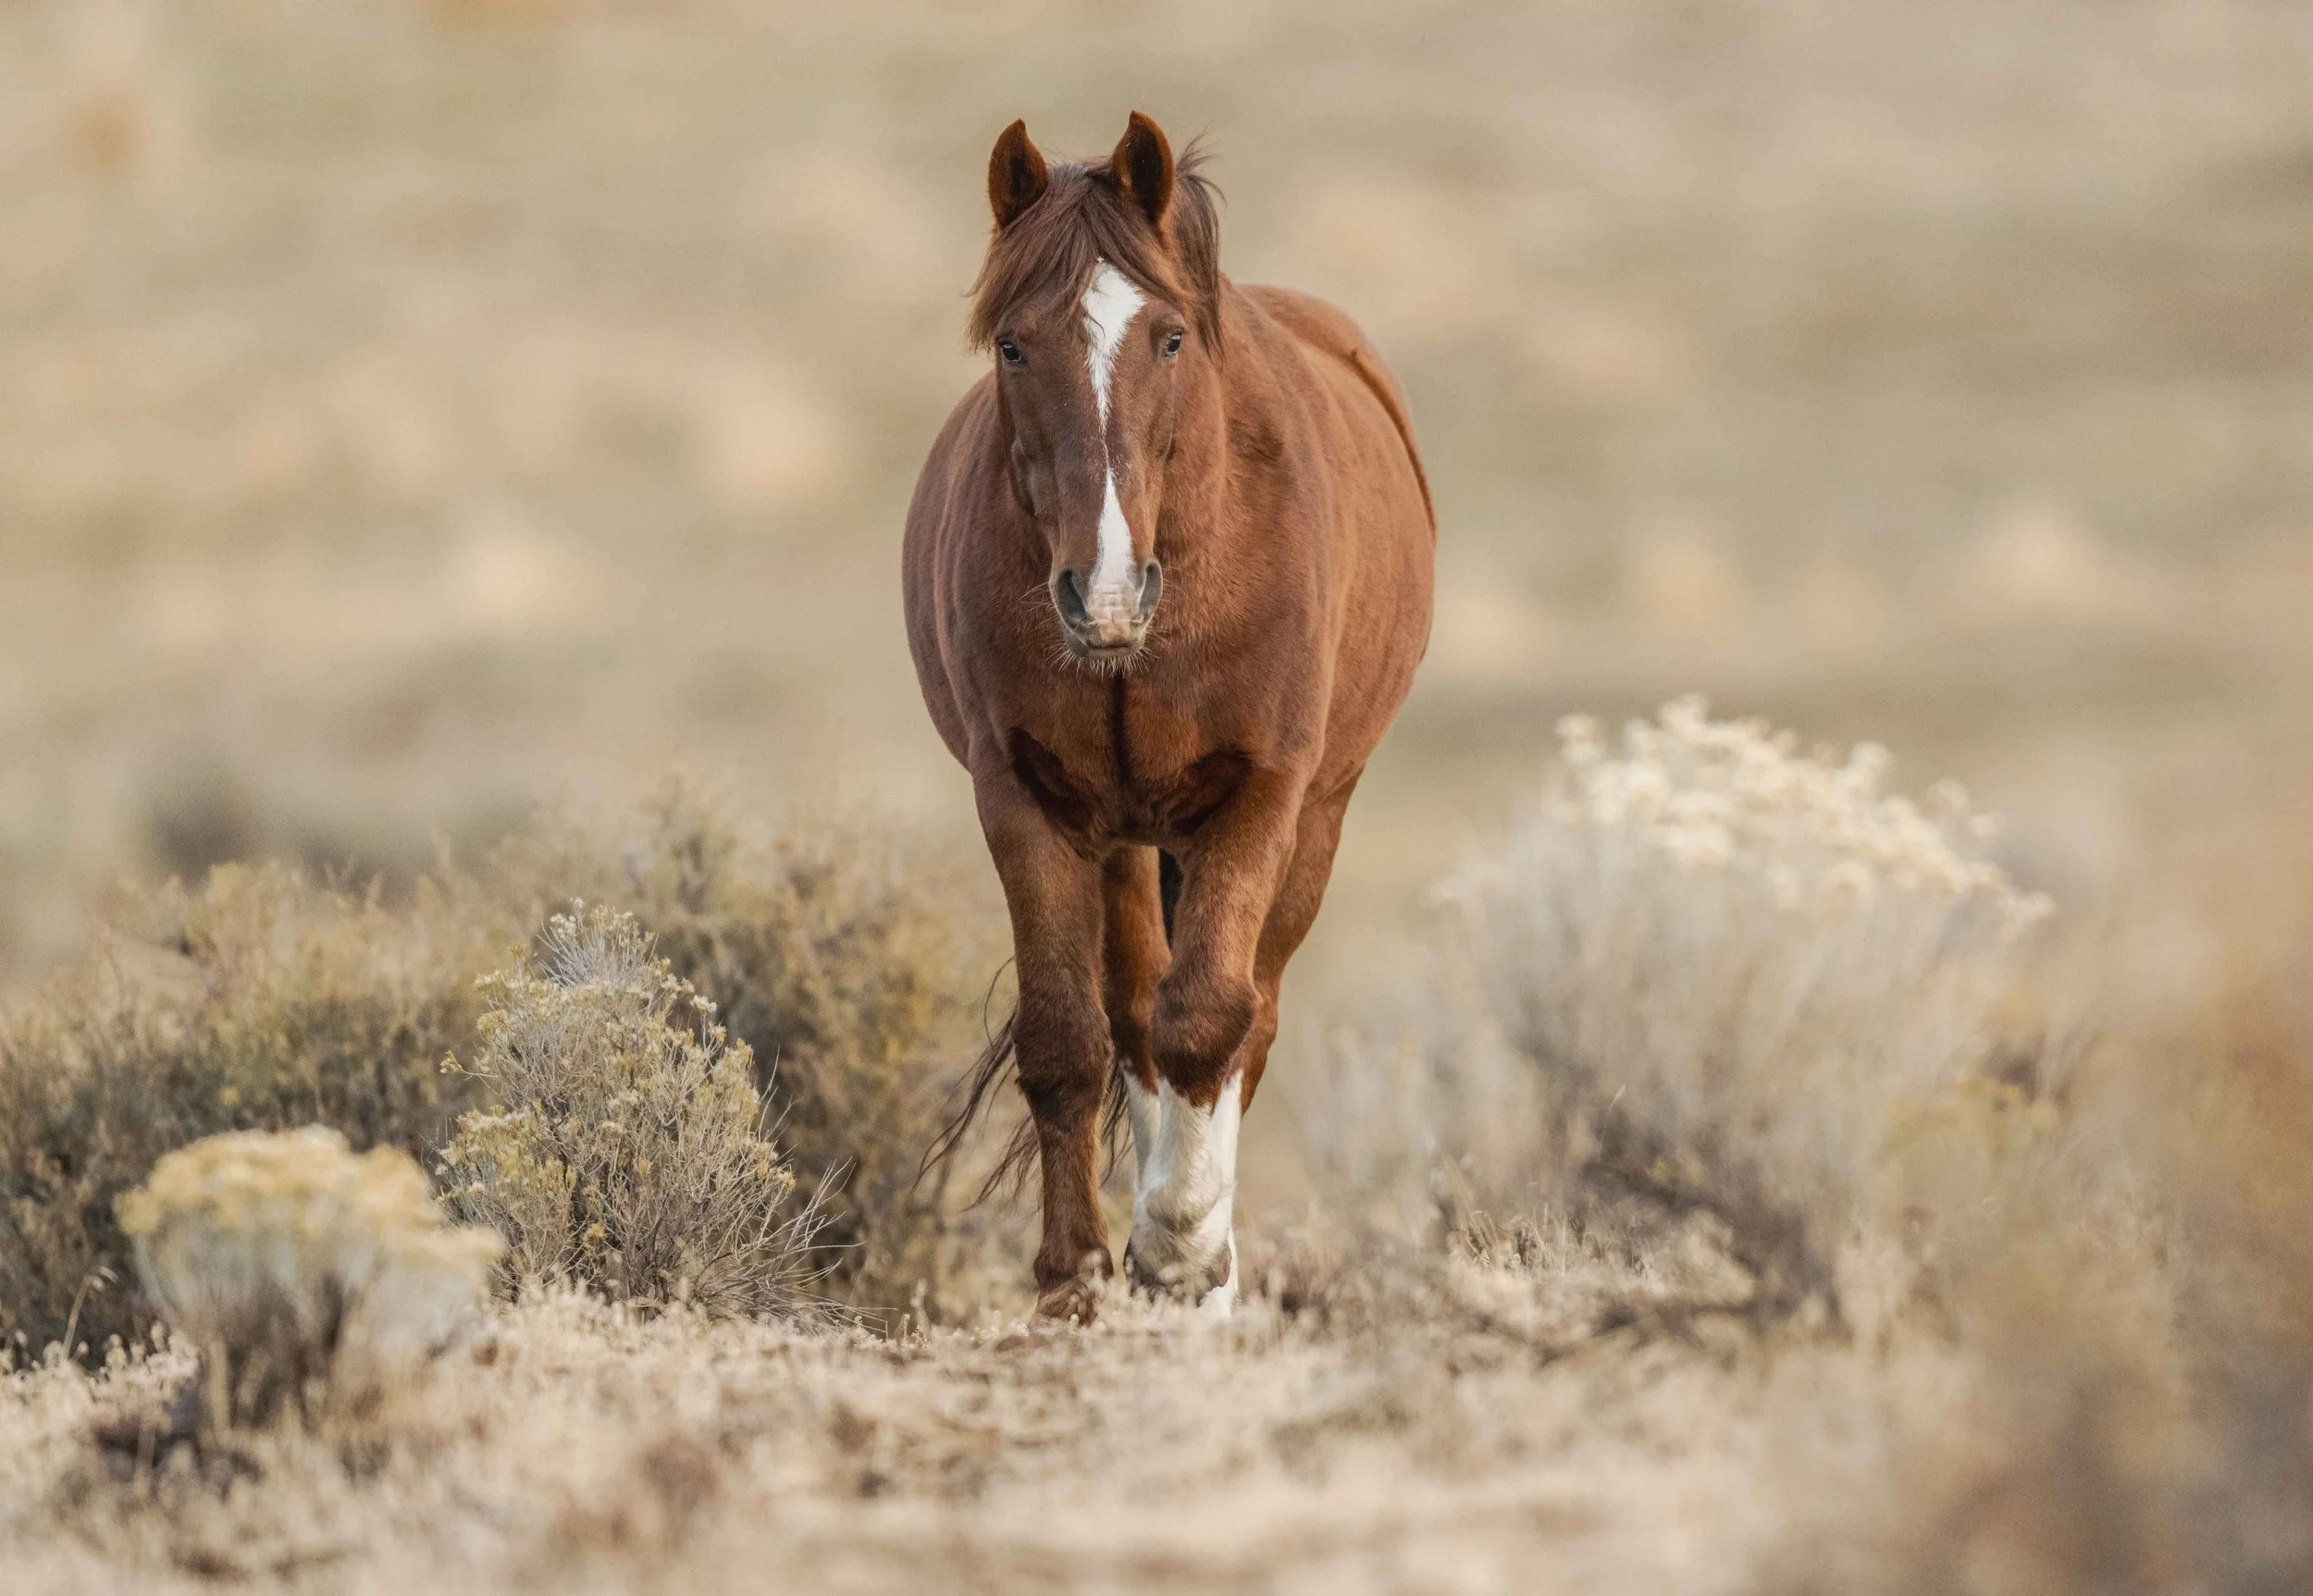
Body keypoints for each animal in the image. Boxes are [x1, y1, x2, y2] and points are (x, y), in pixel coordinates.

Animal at [905, 112, 1435, 1320]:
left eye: (1170, 340)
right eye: (1013, 346)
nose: (1099, 593)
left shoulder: (1262, 797)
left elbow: (1210, 1018)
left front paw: (1187, 1247)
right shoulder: (1028, 801)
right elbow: (1070, 1038)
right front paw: (1074, 1279)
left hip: (1313, 820)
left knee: (1244, 1017)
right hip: (1123, 842)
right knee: (1132, 1018)